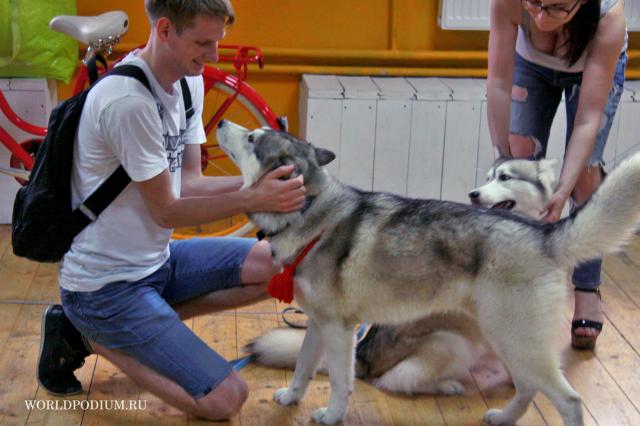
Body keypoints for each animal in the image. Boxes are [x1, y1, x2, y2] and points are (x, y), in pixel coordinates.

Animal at [245, 156, 560, 396]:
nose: (474, 194)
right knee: (397, 381)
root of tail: (364, 354)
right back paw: (447, 386)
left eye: (504, 177)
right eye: (488, 178)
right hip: (453, 343)